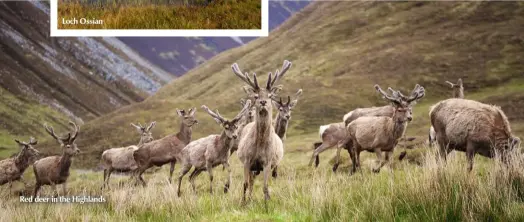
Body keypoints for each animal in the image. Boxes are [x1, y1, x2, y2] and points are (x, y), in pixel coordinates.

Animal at [232, 59, 290, 204]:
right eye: (256, 96)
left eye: (270, 95)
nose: (263, 102)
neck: (260, 144)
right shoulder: (247, 161)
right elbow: (245, 184)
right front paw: (242, 203)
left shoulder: (267, 162)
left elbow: (265, 186)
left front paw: (267, 203)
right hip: (252, 167)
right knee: (251, 182)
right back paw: (249, 199)